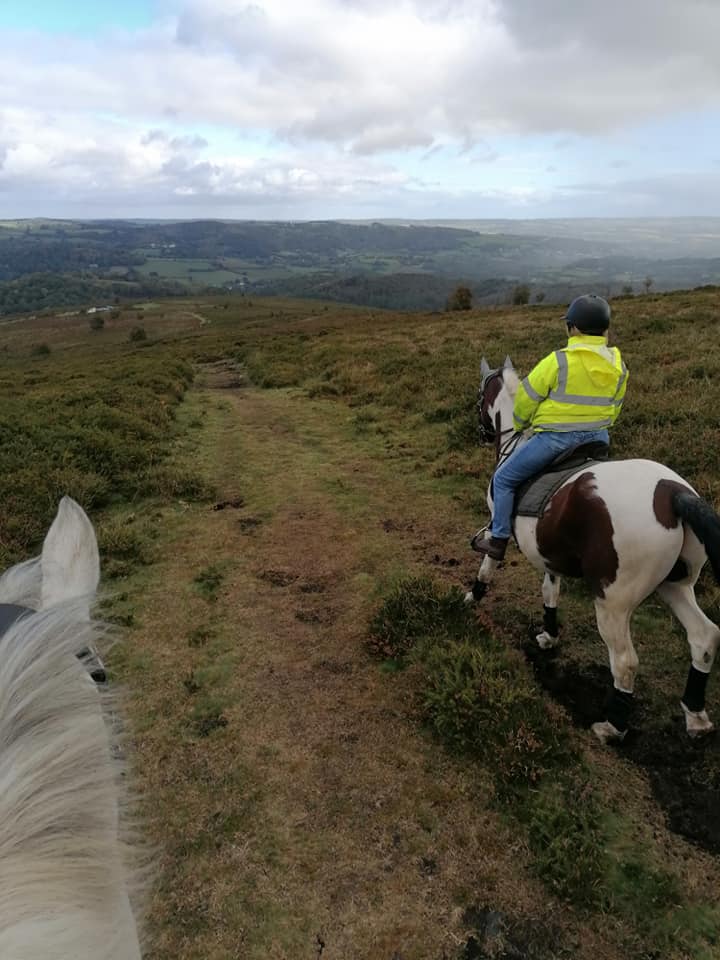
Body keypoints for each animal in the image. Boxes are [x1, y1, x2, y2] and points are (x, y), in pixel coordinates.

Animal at [466, 360, 720, 744]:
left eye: (481, 395)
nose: (480, 430)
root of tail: (673, 494)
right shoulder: (549, 552)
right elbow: (550, 590)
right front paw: (549, 634)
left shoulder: (500, 525)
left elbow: (488, 561)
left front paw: (473, 595)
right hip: (676, 586)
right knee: (704, 637)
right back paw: (695, 715)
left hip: (613, 602)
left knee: (625, 662)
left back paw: (613, 725)